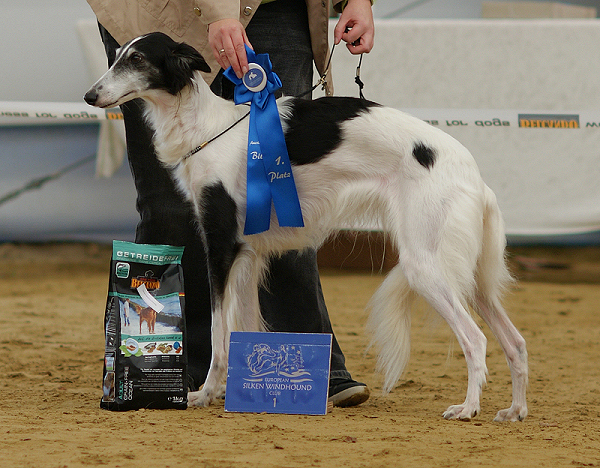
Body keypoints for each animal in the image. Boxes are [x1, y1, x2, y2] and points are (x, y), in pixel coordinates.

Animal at [83, 32, 524, 420]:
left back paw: (468, 408)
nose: (91, 96)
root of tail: (475, 178)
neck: (208, 130)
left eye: (138, 59)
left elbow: (219, 334)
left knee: (477, 340)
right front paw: (246, 392)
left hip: (426, 266)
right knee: (515, 342)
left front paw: (206, 394)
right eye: (117, 55)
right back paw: (514, 410)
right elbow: (245, 330)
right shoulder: (248, 256)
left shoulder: (221, 248)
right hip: (471, 277)